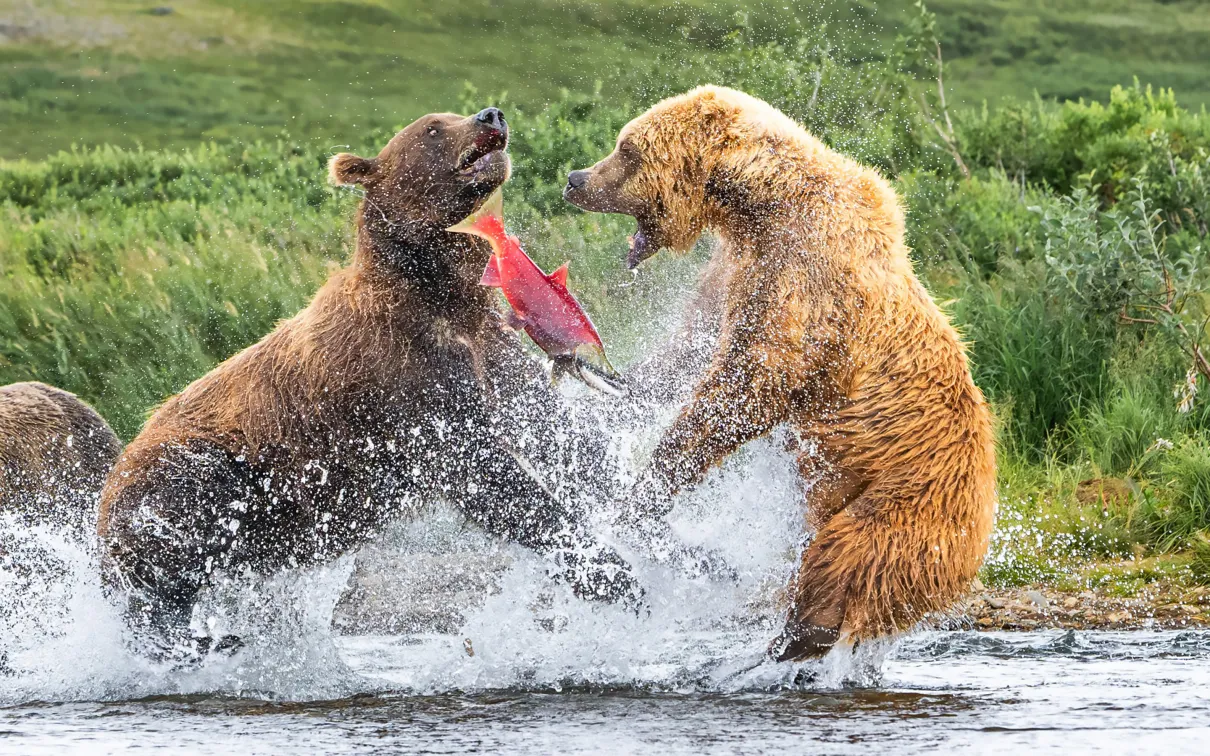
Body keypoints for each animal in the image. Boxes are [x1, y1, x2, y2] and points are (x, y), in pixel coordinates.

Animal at [98, 107, 641, 656]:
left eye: (452, 114)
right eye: (432, 129)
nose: (490, 115)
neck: (438, 294)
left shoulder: (489, 353)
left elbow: (561, 433)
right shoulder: (409, 385)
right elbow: (492, 480)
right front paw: (615, 576)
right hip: (188, 475)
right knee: (171, 560)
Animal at [563, 86, 997, 660]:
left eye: (627, 149)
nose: (576, 179)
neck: (761, 204)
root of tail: (982, 525)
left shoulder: (807, 277)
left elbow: (751, 386)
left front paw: (644, 494)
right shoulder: (741, 270)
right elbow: (692, 346)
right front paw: (602, 373)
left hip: (908, 507)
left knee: (845, 561)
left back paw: (790, 638)